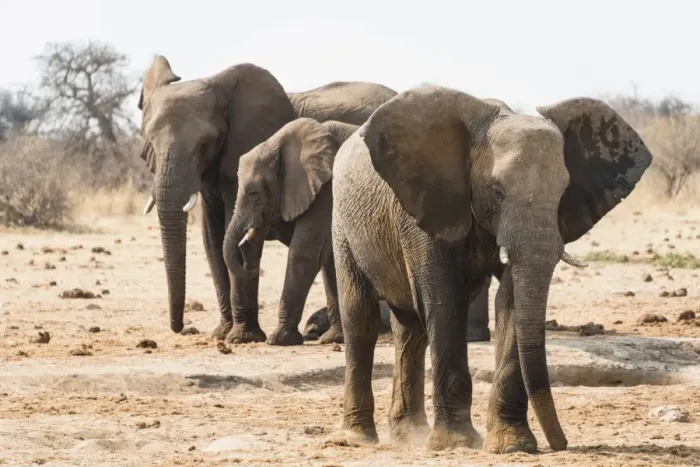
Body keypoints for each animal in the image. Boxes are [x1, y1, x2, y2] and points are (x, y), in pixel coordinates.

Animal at [137, 55, 297, 342]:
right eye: (151, 144)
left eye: (204, 144)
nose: (179, 328)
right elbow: (212, 239)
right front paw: (221, 334)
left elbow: (233, 236)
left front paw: (242, 338)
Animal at [223, 118, 360, 345]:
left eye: (254, 194)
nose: (251, 267)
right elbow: (330, 260)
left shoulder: (327, 192)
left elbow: (304, 253)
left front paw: (279, 340)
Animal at [330, 86, 652, 453]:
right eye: (497, 192)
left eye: (562, 193)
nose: (561, 443)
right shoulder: (426, 210)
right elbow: (445, 302)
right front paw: (456, 443)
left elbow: (510, 302)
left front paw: (512, 445)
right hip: (342, 222)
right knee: (361, 318)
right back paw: (358, 438)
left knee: (410, 329)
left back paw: (408, 436)